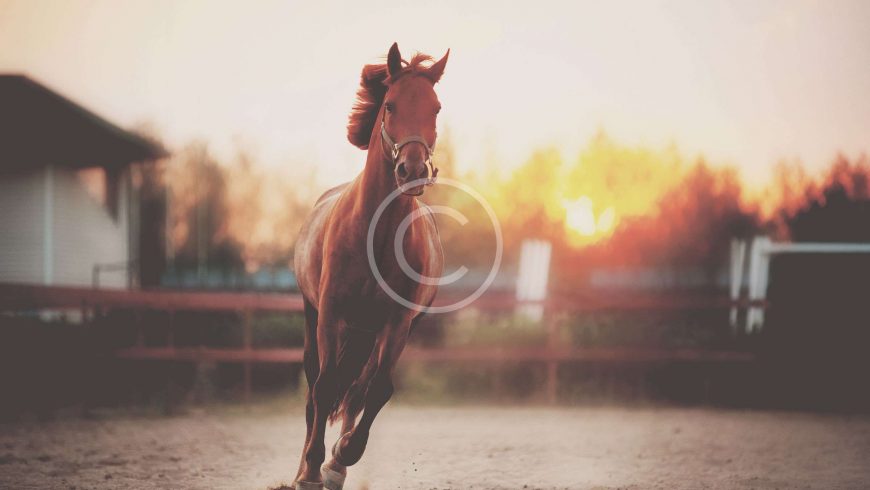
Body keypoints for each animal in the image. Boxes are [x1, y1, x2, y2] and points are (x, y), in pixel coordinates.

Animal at [291, 43, 449, 490]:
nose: (412, 170)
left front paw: (341, 457)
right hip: (313, 317)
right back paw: (304, 466)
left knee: (357, 391)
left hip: (371, 332)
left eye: (436, 108)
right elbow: (325, 387)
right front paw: (312, 469)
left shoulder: (397, 323)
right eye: (391, 104)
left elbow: (376, 390)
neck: (377, 235)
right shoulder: (330, 314)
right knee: (315, 389)